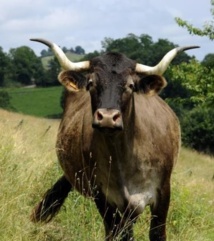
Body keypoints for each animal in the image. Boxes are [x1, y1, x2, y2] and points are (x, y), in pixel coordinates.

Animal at [30, 38, 199, 241]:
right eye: (91, 83)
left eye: (130, 86)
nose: (108, 117)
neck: (123, 160)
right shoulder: (103, 196)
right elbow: (115, 234)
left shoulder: (163, 191)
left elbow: (157, 233)